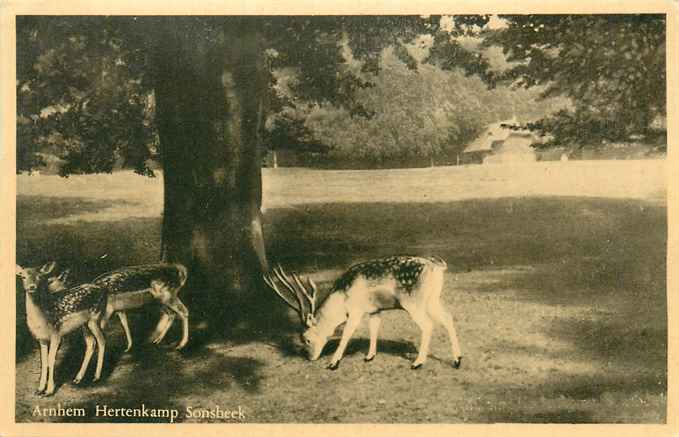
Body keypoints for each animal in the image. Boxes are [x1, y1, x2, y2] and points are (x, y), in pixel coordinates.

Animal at [16, 262, 107, 396]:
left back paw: (96, 376)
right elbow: (43, 362)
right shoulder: (41, 339)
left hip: (95, 318)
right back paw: (78, 378)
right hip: (84, 324)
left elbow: (50, 360)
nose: (32, 287)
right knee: (91, 343)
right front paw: (39, 389)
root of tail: (103, 289)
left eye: (40, 277)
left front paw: (49, 390)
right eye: (22, 276)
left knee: (102, 340)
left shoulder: (56, 334)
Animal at [49, 262, 191, 350]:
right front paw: (128, 347)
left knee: (184, 311)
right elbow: (124, 323)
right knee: (171, 314)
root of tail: (181, 271)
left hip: (169, 296)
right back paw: (157, 340)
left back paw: (181, 344)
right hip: (157, 302)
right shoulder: (118, 310)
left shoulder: (107, 311)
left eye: (50, 281)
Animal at [262, 254, 464, 370]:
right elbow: (374, 329)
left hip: (414, 303)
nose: (310, 357)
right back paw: (457, 359)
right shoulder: (375, 310)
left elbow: (346, 335)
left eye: (306, 339)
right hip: (433, 299)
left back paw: (417, 363)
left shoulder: (355, 311)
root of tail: (438, 266)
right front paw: (369, 356)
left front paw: (333, 363)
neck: (341, 299)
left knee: (428, 325)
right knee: (448, 317)